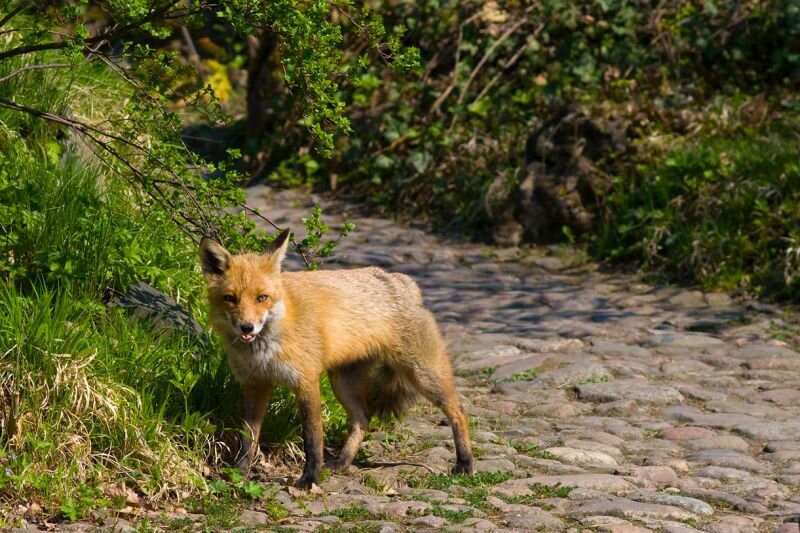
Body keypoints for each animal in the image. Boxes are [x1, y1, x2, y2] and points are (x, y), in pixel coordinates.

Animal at [200, 229, 476, 486]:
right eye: (230, 298)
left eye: (262, 298)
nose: (247, 327)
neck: (264, 348)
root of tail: (400, 279)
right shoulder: (254, 384)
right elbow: (248, 437)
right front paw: (239, 471)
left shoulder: (306, 382)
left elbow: (312, 439)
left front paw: (309, 479)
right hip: (343, 383)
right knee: (363, 419)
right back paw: (343, 462)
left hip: (423, 374)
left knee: (459, 411)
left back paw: (465, 463)